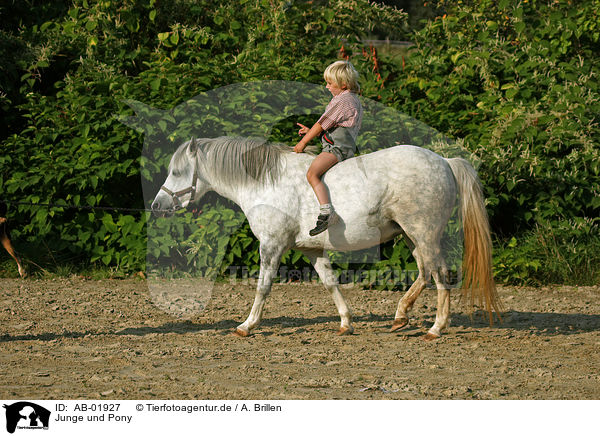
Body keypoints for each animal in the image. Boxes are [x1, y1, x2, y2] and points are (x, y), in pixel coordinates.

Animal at [151, 136, 502, 340]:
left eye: (178, 172)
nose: (156, 205)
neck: (265, 182)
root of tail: (445, 162)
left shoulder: (272, 245)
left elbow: (263, 287)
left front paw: (247, 325)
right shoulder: (311, 250)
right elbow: (331, 283)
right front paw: (346, 323)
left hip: (423, 233)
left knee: (441, 274)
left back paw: (435, 328)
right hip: (412, 236)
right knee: (425, 272)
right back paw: (401, 316)